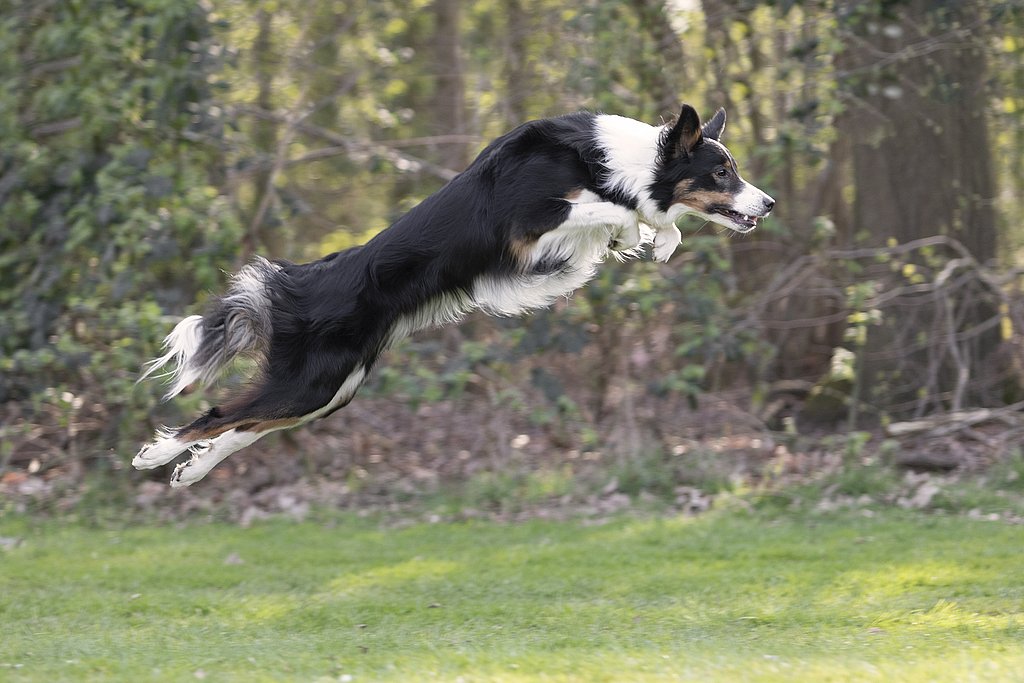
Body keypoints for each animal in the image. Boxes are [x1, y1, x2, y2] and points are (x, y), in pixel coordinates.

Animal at [134, 104, 774, 487]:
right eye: (723, 173)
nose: (767, 204)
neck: (612, 159)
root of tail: (302, 278)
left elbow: (639, 222)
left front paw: (656, 237)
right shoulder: (529, 222)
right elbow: (617, 207)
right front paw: (650, 228)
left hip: (332, 389)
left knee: (244, 424)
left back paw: (191, 472)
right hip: (311, 381)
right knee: (218, 414)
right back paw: (156, 456)